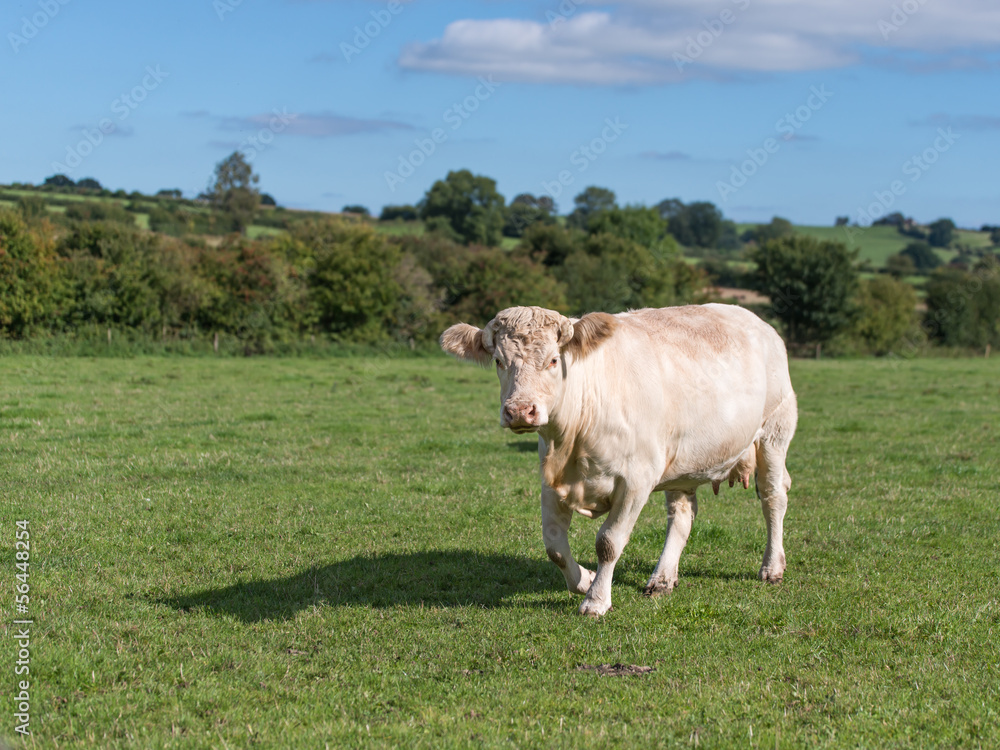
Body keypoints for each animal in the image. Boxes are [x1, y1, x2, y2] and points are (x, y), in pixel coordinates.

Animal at [442, 304, 800, 616]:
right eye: (499, 361)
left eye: (554, 360)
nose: (519, 411)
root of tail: (757, 322)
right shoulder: (551, 482)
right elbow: (554, 546)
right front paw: (585, 579)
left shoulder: (636, 480)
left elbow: (608, 542)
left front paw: (596, 600)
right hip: (683, 459)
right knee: (682, 514)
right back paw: (662, 578)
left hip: (775, 433)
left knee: (773, 497)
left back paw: (772, 567)